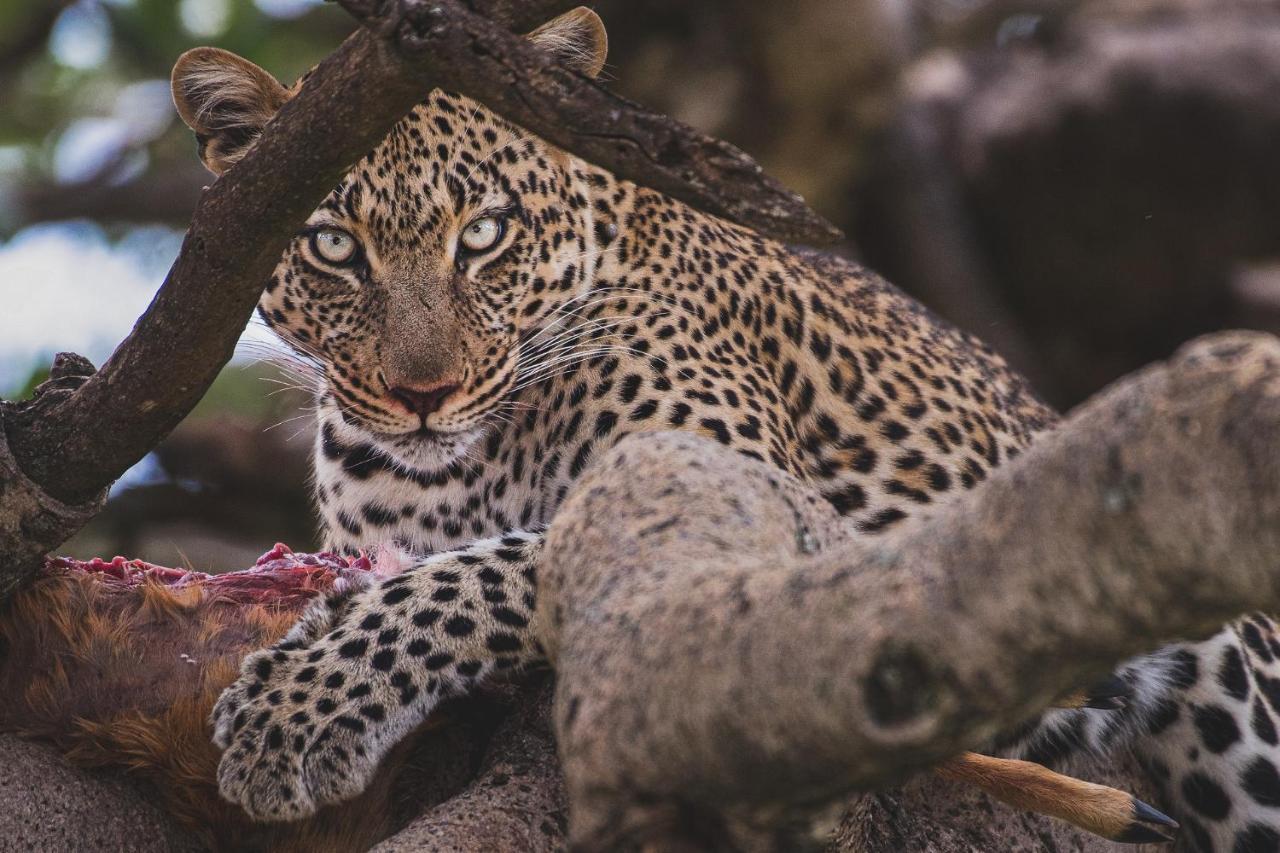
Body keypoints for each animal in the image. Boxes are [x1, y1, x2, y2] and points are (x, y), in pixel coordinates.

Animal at [170, 9, 1280, 845]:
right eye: (332, 246)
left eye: (482, 235)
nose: (421, 392)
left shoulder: (777, 522)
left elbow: (463, 579)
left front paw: (295, 709)